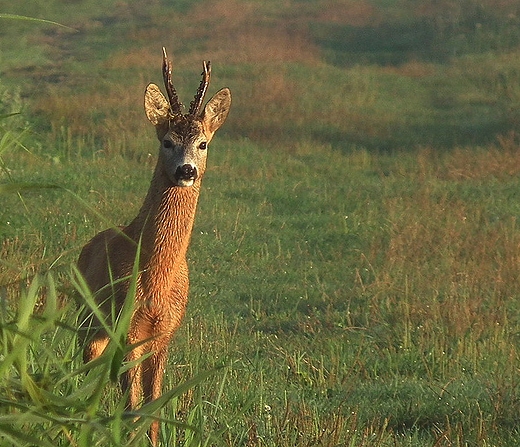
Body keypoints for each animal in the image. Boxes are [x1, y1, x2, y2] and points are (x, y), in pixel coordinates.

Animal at [76, 47, 231, 446]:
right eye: (167, 141)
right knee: (84, 371)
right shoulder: (126, 326)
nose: (186, 171)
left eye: (203, 143)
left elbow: (153, 408)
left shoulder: (165, 332)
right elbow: (132, 409)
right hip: (86, 318)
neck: (156, 276)